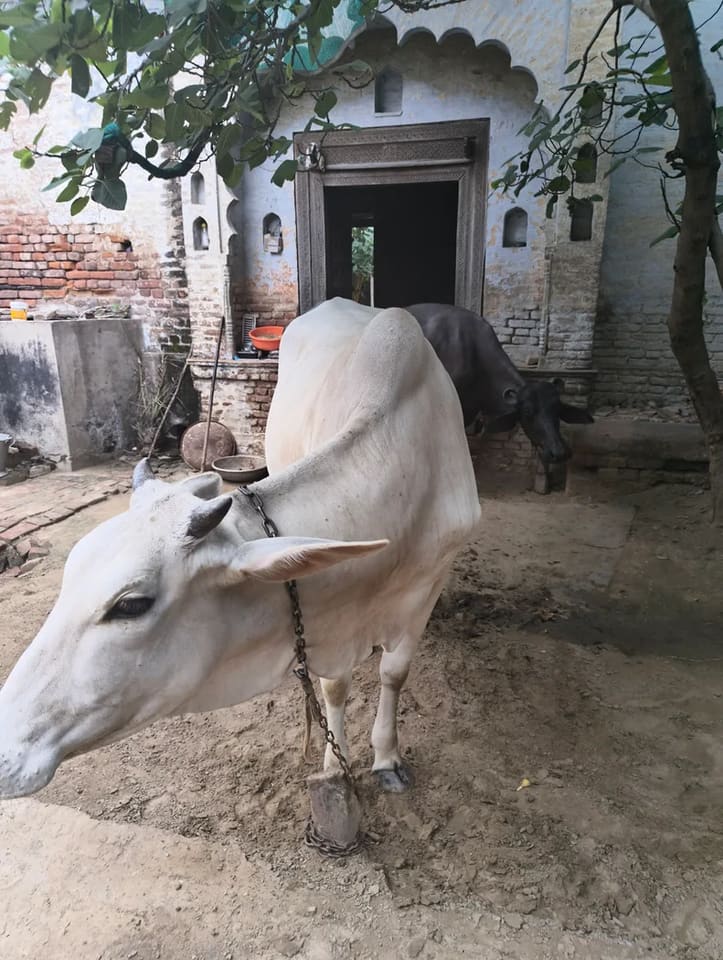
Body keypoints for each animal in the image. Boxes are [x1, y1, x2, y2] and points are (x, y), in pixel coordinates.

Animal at [0, 299, 480, 802]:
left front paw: (387, 758)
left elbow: (394, 673)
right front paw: (335, 765)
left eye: (131, 605)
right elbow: (335, 687)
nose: (6, 749)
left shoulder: (426, 587)